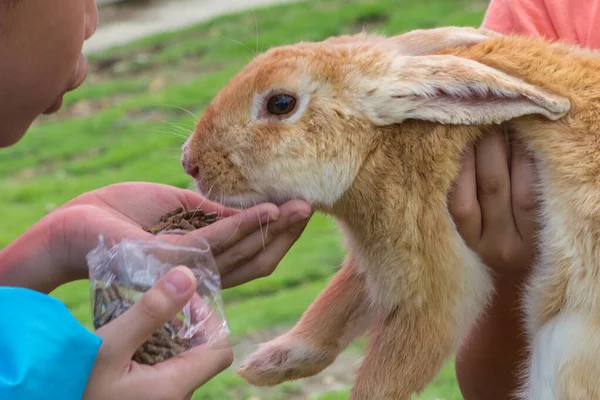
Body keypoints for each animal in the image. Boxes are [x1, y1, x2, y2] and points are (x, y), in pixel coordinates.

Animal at [179, 25, 600, 400]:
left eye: (280, 104)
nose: (189, 162)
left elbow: (391, 368)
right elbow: (335, 303)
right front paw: (264, 366)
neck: (378, 142)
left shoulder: (427, 267)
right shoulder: (374, 261)